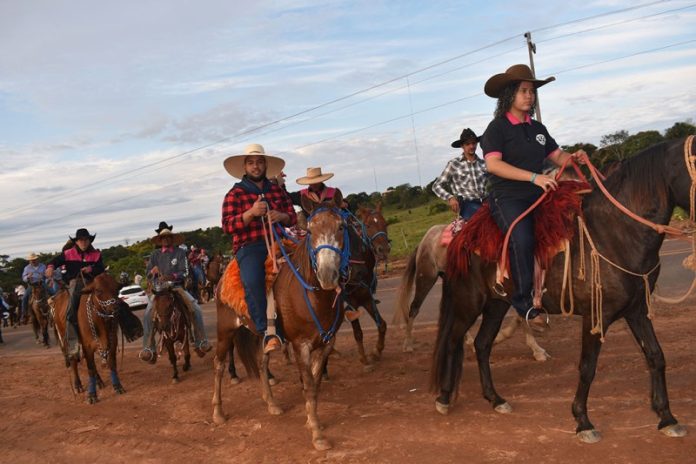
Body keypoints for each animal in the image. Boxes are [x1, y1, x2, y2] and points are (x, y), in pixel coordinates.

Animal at [51, 273, 125, 403]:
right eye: (98, 290)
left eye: (116, 288)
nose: (115, 308)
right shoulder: (87, 345)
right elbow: (90, 368)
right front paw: (92, 395)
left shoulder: (113, 342)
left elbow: (111, 364)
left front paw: (117, 386)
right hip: (66, 340)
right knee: (73, 360)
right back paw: (78, 385)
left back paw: (99, 381)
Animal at [212, 190, 349, 450]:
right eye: (310, 230)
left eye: (341, 226)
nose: (327, 275)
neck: (312, 294)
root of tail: (222, 279)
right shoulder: (300, 345)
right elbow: (309, 387)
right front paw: (317, 434)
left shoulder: (326, 343)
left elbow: (314, 383)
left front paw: (310, 420)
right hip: (225, 332)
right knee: (219, 366)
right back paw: (218, 413)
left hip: (262, 336)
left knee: (261, 362)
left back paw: (272, 404)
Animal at [396, 223, 548, 361]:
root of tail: (423, 242)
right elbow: (522, 314)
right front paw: (537, 350)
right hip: (426, 278)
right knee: (414, 308)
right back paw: (407, 344)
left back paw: (467, 341)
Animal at [431, 137, 695, 443]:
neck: (616, 233)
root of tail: (461, 237)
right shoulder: (595, 317)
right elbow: (587, 368)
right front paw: (583, 421)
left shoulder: (637, 310)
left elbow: (656, 356)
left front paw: (666, 417)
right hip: (468, 303)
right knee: (453, 342)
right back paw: (444, 397)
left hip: (497, 304)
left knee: (482, 345)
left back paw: (496, 399)